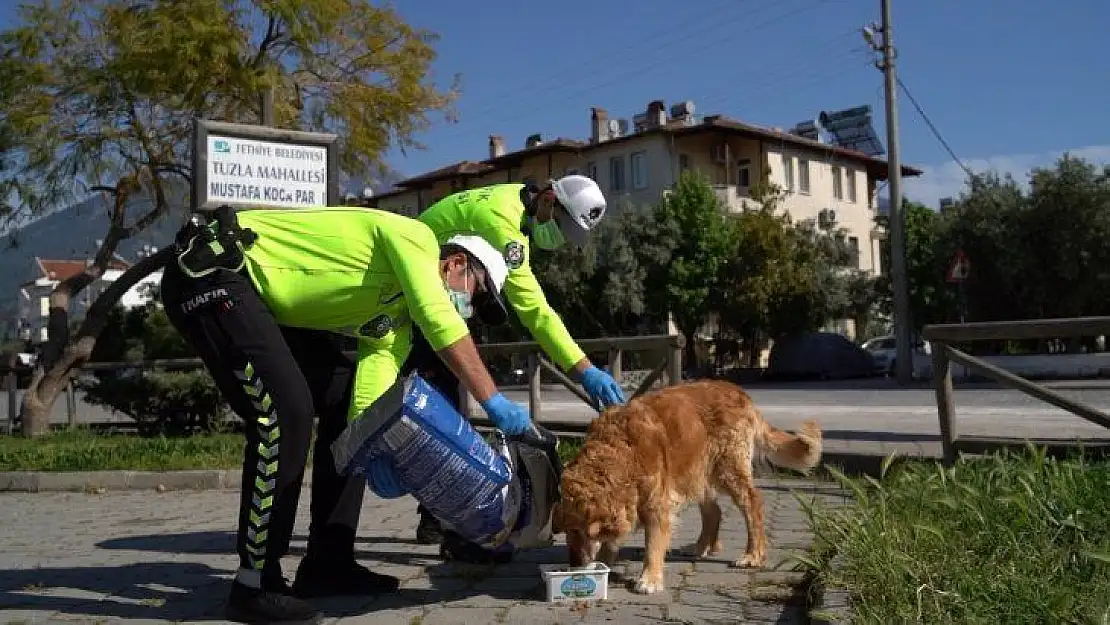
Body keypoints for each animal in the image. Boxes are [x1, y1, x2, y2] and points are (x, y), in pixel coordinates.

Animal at [550, 379, 821, 595]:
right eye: (567, 531)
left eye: (578, 531)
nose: (574, 564)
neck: (620, 452)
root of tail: (739, 391)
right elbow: (614, 539)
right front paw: (605, 563)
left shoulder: (656, 505)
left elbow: (653, 544)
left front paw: (649, 578)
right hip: (697, 472)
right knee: (714, 512)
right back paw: (700, 547)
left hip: (728, 470)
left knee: (752, 503)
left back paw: (753, 554)